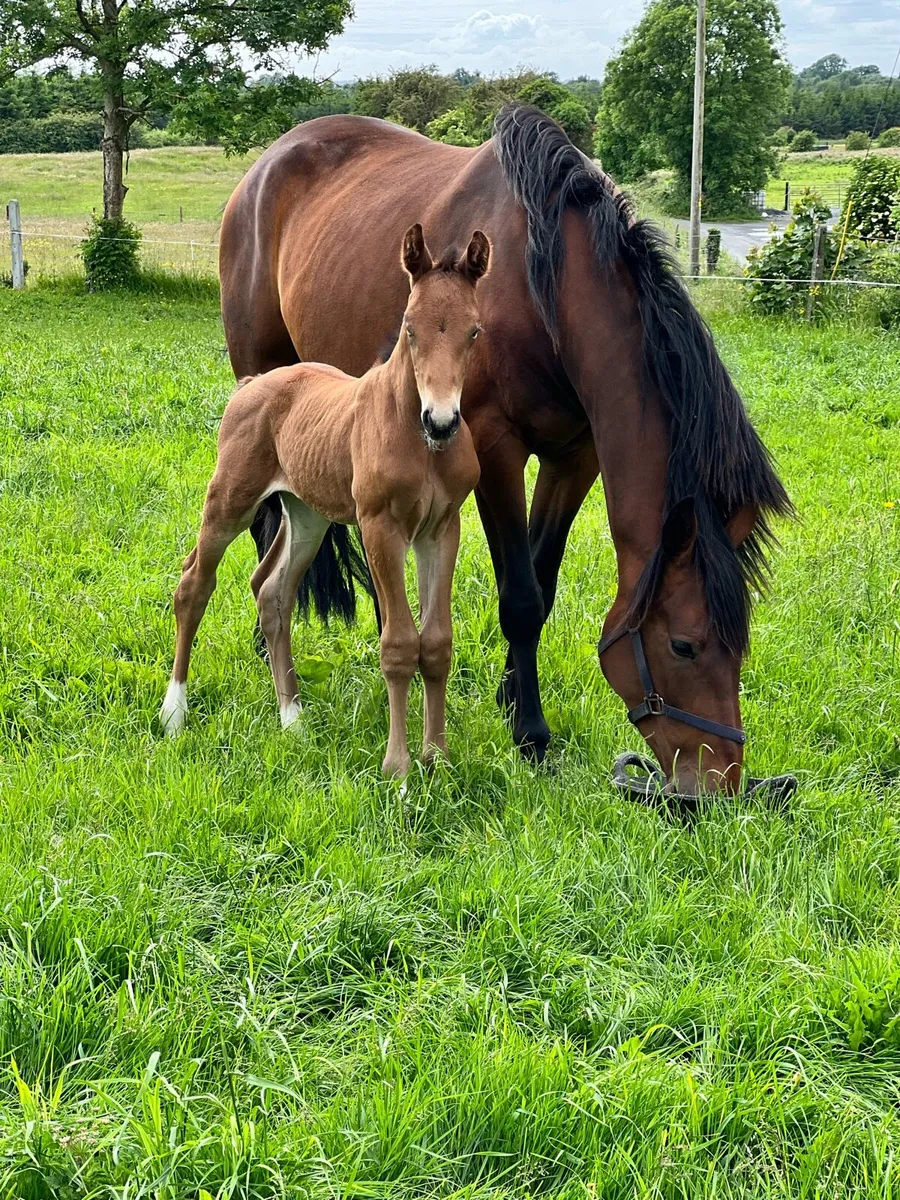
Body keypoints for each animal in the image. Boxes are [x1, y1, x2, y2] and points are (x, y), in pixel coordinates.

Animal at [162, 224, 485, 776]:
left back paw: (292, 720)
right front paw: (398, 770)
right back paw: (174, 712)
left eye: (474, 331)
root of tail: (251, 384)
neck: (418, 441)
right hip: (230, 498)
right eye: (409, 328)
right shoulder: (380, 526)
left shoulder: (442, 528)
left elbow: (437, 642)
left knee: (272, 591)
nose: (441, 421)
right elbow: (399, 643)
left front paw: (437, 759)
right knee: (193, 585)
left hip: (306, 514)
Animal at [218, 104, 792, 796]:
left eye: (741, 645)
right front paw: (531, 735)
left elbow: (541, 585)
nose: (716, 786)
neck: (544, 287)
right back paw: (266, 643)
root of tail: (265, 166)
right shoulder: (494, 452)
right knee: (266, 527)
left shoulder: (575, 457)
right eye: (685, 644)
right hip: (263, 382)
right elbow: (519, 597)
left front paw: (511, 696)